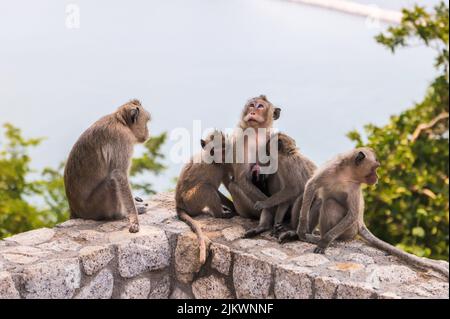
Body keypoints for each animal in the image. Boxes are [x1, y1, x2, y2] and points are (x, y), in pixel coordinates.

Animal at [174, 130, 234, 264]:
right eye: (213, 150)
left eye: (222, 148)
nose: (219, 156)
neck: (214, 162)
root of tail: (178, 205)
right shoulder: (213, 169)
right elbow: (214, 187)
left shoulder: (223, 165)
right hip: (191, 202)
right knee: (206, 188)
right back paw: (220, 215)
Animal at [284, 149, 448, 278]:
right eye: (375, 168)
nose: (377, 177)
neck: (346, 174)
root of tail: (360, 224)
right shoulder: (331, 169)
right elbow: (311, 186)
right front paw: (301, 229)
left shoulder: (354, 187)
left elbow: (352, 214)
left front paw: (325, 241)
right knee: (320, 201)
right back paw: (307, 234)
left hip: (350, 230)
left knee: (330, 204)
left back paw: (326, 238)